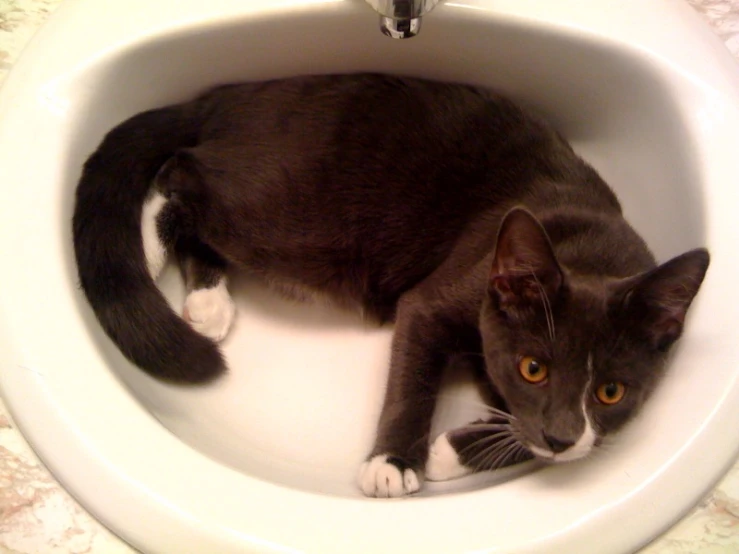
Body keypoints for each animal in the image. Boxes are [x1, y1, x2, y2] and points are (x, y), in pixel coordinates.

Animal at [72, 72, 708, 496]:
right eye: (535, 368)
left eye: (611, 392)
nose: (561, 435)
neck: (588, 244)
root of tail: (217, 98)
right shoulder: (443, 293)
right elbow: (415, 376)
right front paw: (396, 462)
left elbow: (525, 433)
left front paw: (453, 452)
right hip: (284, 212)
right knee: (180, 174)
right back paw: (147, 247)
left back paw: (208, 303)